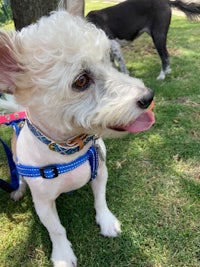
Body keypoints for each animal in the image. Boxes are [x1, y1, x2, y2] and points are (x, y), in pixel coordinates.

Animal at [0, 1, 155, 266]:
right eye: (81, 81)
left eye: (108, 59)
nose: (148, 97)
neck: (68, 148)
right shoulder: (43, 203)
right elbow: (56, 229)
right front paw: (63, 255)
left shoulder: (101, 172)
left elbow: (100, 200)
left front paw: (106, 222)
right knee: (18, 178)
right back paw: (18, 190)